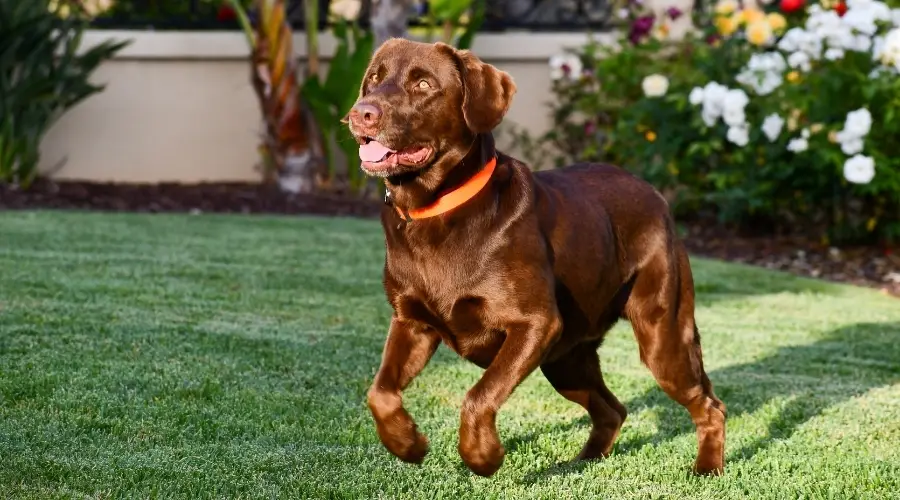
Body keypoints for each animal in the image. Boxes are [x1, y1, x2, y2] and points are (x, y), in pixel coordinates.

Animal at [342, 38, 728, 476]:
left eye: (423, 84)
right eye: (374, 79)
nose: (361, 113)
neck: (434, 211)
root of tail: (656, 194)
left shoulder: (535, 324)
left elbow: (478, 395)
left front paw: (483, 456)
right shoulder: (412, 323)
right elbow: (379, 391)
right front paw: (407, 443)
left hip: (660, 336)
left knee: (710, 406)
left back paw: (707, 467)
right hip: (567, 360)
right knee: (612, 409)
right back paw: (582, 461)